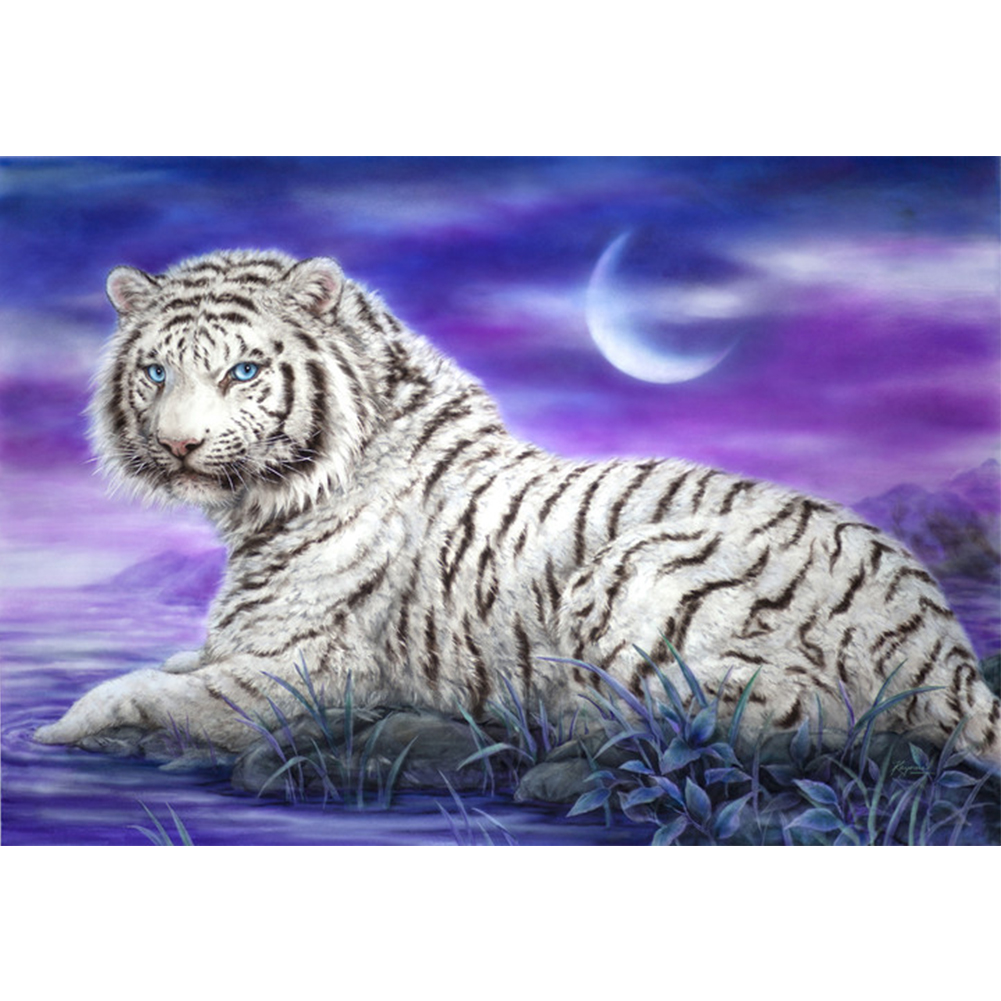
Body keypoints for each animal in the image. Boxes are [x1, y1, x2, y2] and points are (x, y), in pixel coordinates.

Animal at [34, 249, 1001, 770]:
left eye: (241, 371)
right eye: (156, 371)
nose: (181, 445)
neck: (260, 504)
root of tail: (940, 644)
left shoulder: (302, 671)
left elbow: (142, 689)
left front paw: (54, 728)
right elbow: (172, 662)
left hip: (640, 572)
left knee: (768, 727)